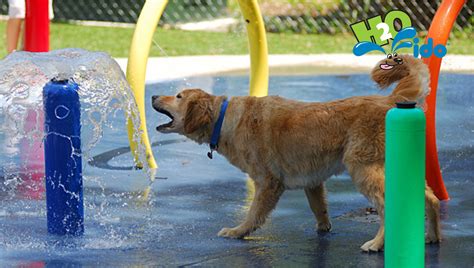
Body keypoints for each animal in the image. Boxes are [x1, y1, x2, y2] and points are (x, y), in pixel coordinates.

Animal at [151, 54, 440, 251]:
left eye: (178, 96)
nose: (152, 95)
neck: (224, 119)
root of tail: (389, 101)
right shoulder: (312, 180)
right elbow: (319, 208)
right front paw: (323, 228)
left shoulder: (268, 182)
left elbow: (253, 213)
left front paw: (238, 231)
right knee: (431, 199)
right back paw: (433, 236)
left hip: (362, 169)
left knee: (387, 206)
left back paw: (377, 244)